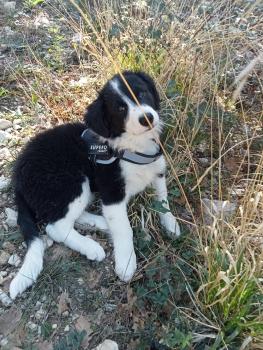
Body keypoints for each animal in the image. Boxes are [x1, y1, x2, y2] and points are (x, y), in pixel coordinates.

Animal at [8, 69, 182, 300]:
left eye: (142, 93)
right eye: (120, 108)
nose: (147, 118)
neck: (132, 146)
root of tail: (18, 178)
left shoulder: (158, 170)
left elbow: (163, 200)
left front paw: (170, 223)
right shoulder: (112, 192)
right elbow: (125, 229)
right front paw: (127, 263)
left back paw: (100, 223)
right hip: (70, 182)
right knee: (56, 227)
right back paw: (91, 246)